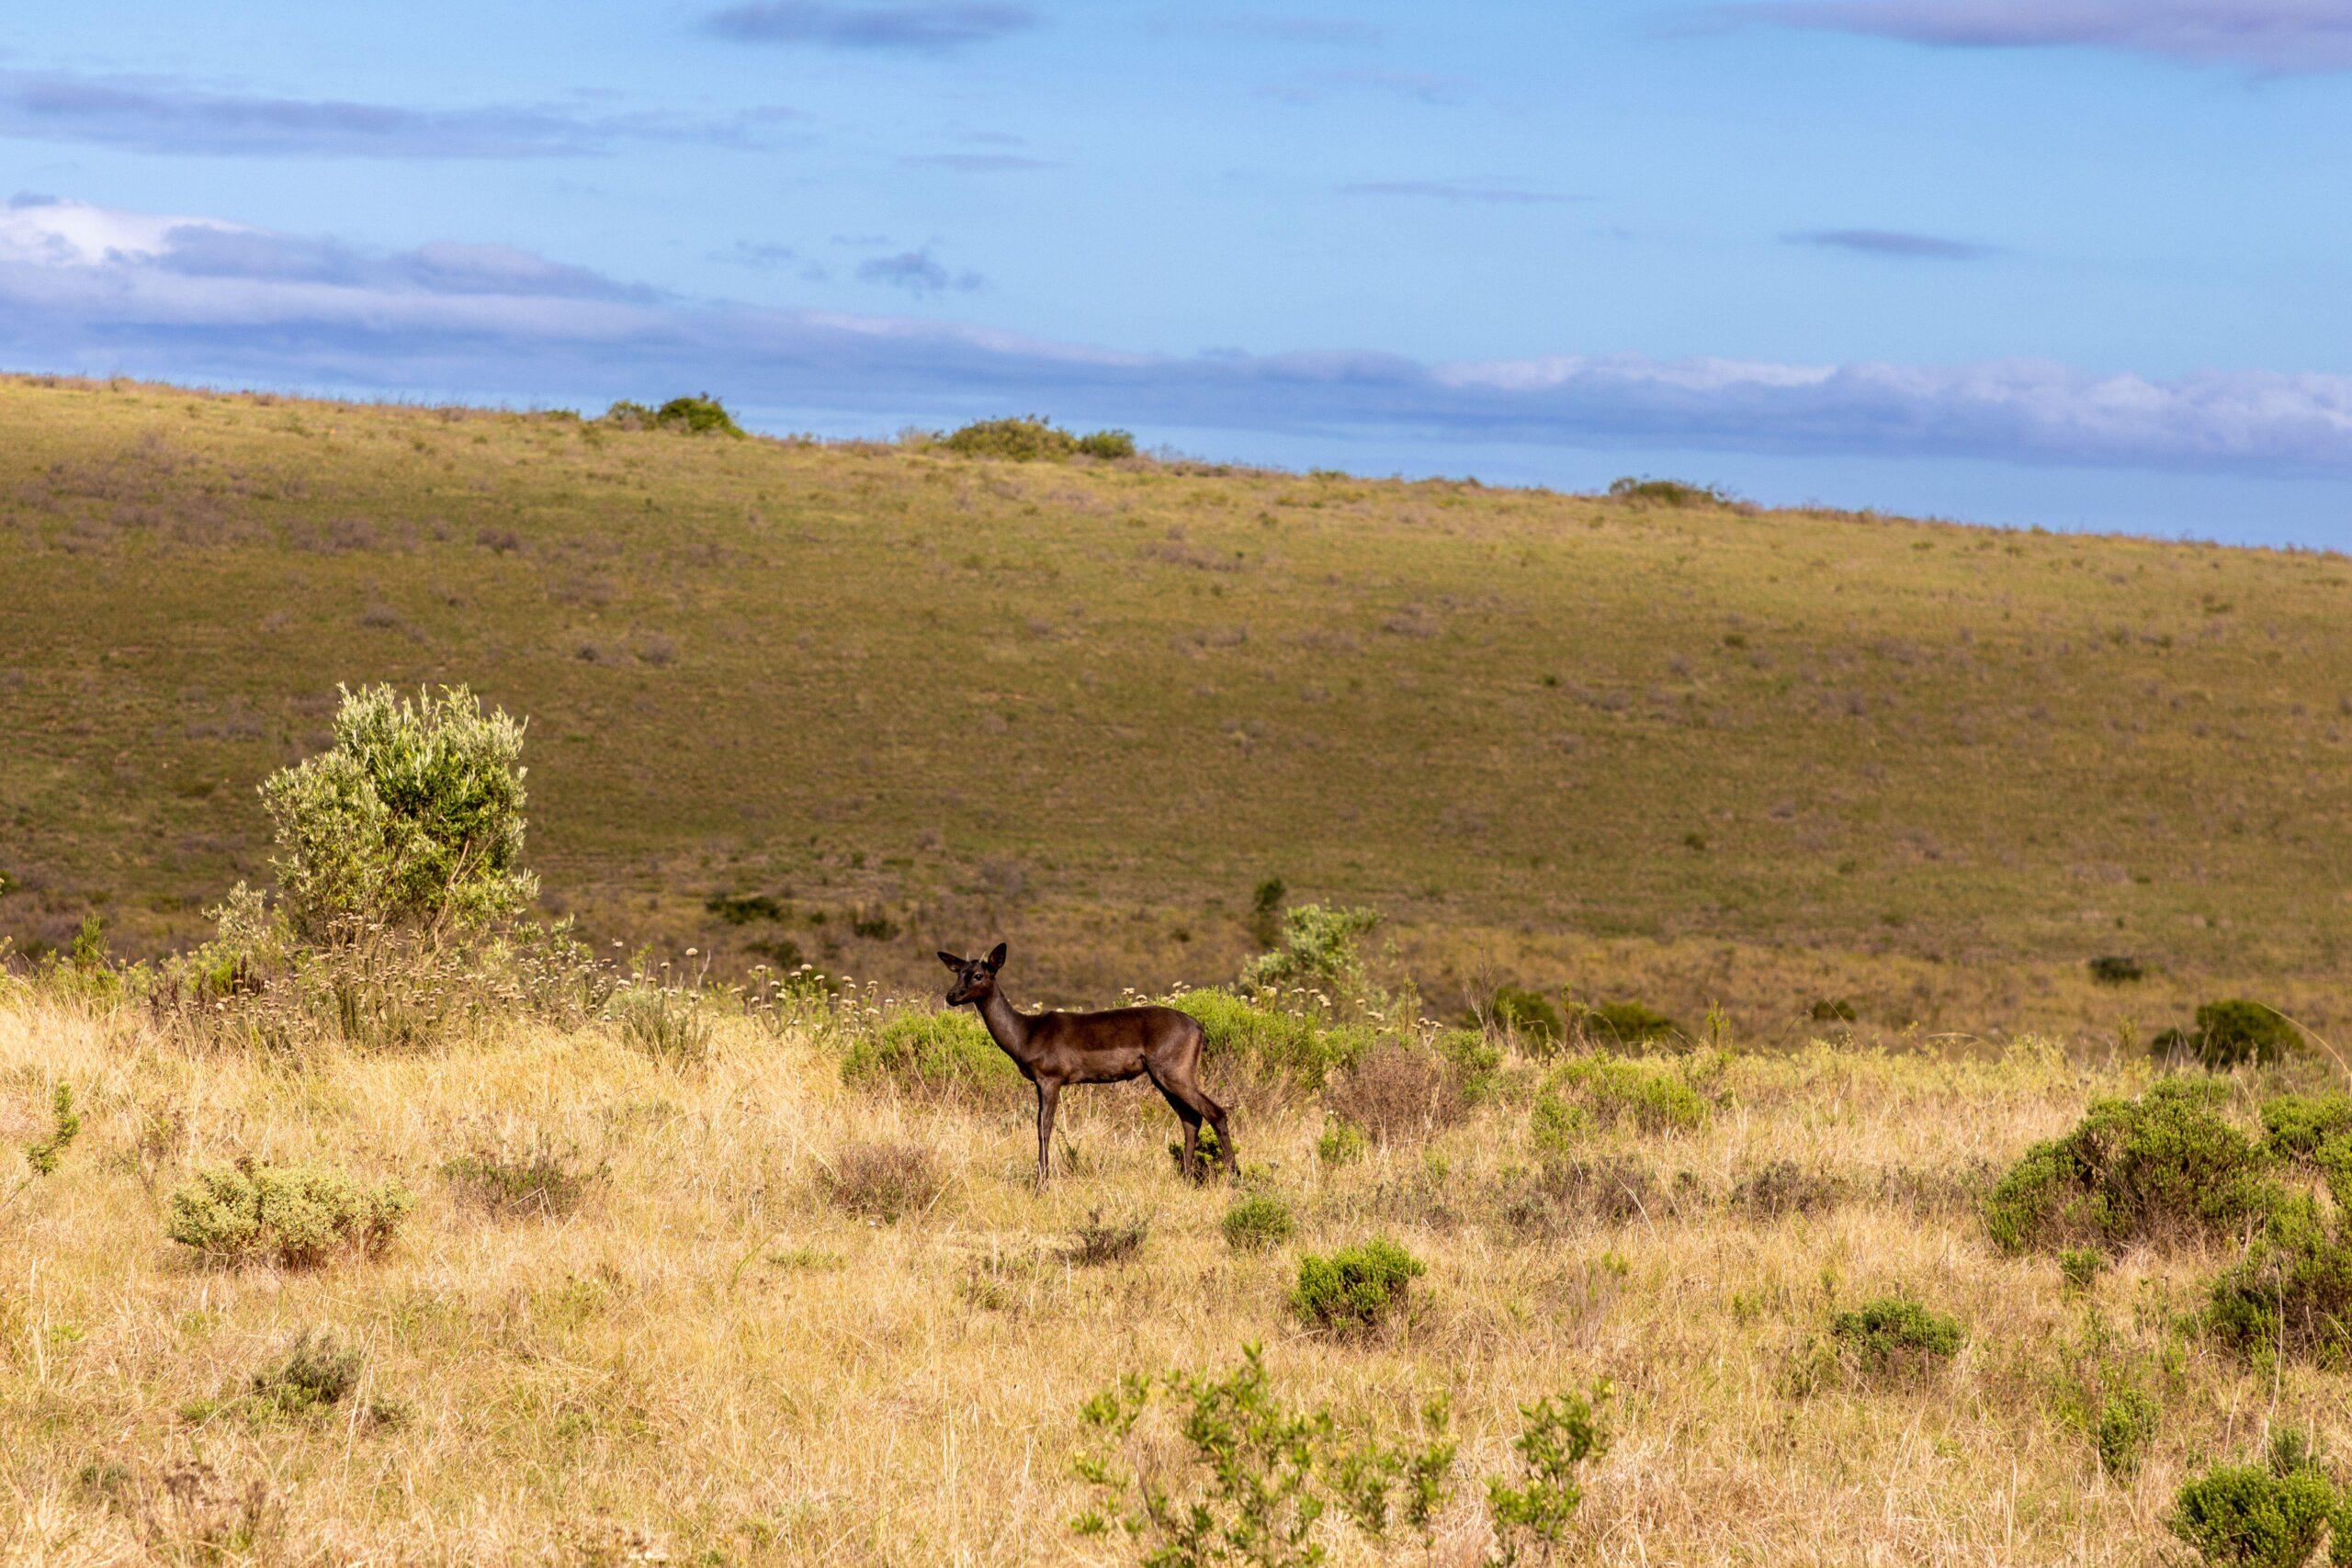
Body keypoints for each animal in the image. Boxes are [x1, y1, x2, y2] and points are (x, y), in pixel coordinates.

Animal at [938, 943, 1235, 1186]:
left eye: (979, 974)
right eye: (958, 972)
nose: (952, 995)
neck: (1025, 1033)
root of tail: (1199, 1027)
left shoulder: (1051, 1080)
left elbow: (1043, 1128)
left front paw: (1042, 1185)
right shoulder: (1039, 1084)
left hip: (1174, 1074)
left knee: (1216, 1112)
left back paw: (1235, 1178)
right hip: (1162, 1079)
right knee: (1191, 1119)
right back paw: (1186, 1178)